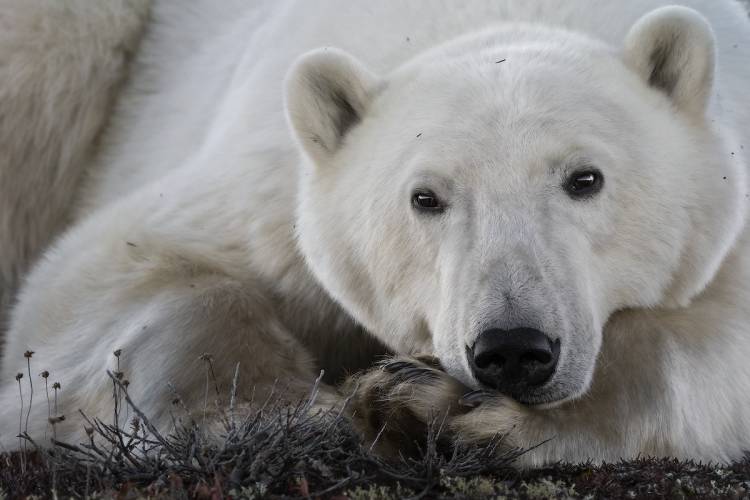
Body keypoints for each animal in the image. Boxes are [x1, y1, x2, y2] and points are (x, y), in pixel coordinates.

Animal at [1, 0, 750, 466]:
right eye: (425, 197)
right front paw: (288, 416)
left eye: (585, 178)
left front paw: (439, 408)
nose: (512, 349)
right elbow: (109, 272)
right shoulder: (269, 180)